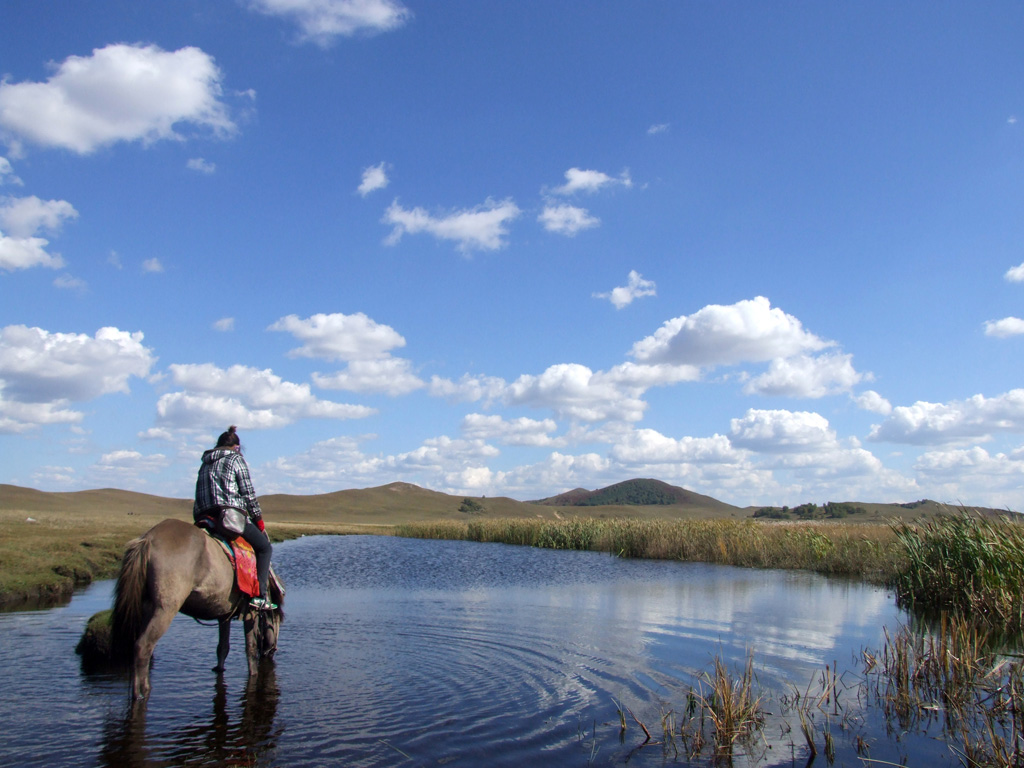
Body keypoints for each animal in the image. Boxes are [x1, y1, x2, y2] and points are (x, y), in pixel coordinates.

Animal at [109, 518, 284, 704]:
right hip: (165, 609)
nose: (271, 651)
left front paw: (219, 669)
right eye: (277, 622)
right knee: (143, 646)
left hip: (146, 607)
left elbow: (223, 647)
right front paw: (254, 675)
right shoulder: (251, 612)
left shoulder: (224, 614)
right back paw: (142, 693)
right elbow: (250, 649)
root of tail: (148, 539)